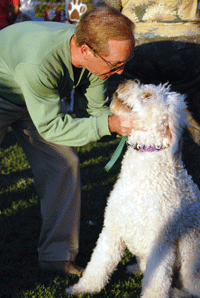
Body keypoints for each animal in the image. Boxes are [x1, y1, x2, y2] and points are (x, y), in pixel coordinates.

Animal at [65, 79, 200, 298]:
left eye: (147, 95)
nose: (123, 81)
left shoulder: (160, 242)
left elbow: (156, 282)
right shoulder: (112, 228)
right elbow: (98, 264)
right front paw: (82, 288)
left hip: (190, 257)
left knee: (189, 287)